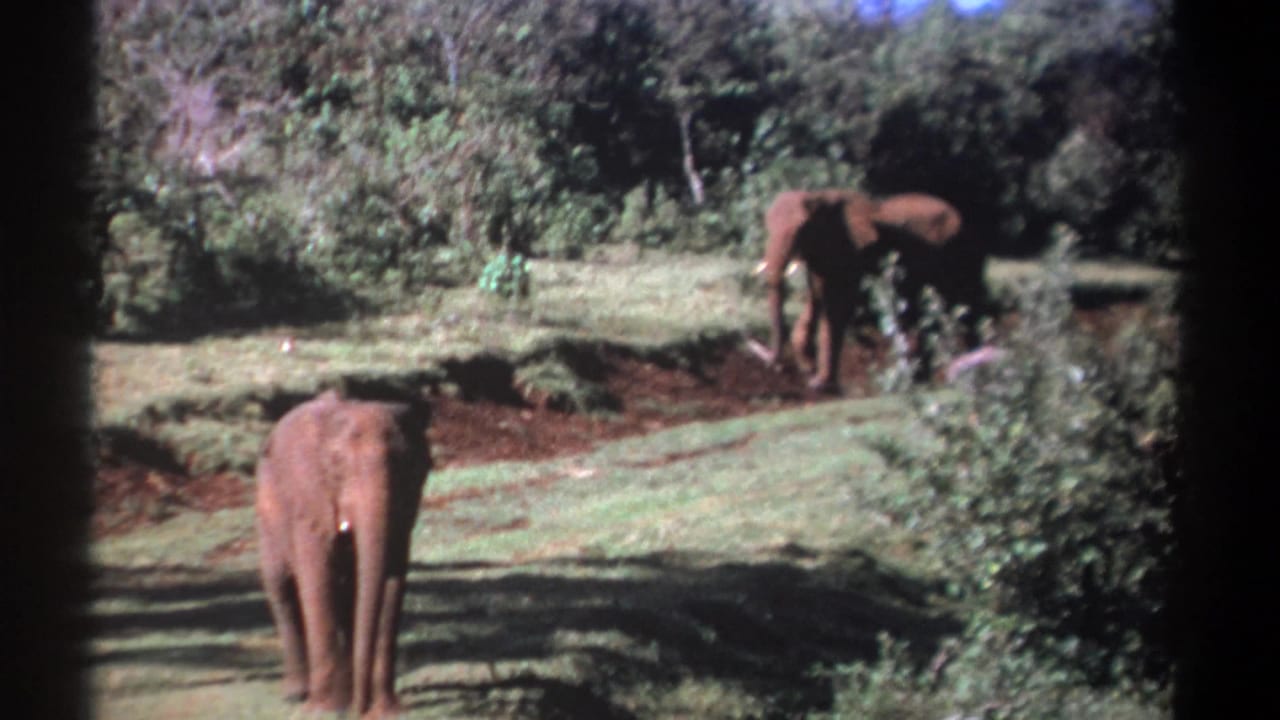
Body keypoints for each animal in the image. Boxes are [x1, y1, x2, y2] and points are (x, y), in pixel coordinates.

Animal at [256, 389, 432, 718]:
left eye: (407, 466)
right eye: (337, 465)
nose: (360, 711)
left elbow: (393, 583)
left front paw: (388, 711)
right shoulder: (310, 499)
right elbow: (317, 579)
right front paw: (324, 710)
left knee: (347, 595)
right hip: (266, 511)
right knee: (281, 586)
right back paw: (297, 694)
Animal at [759, 189, 975, 393]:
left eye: (802, 229)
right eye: (767, 226)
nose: (775, 366)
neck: (818, 198)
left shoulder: (852, 252)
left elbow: (837, 307)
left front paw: (821, 385)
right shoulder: (823, 256)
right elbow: (818, 297)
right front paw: (809, 369)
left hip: (954, 253)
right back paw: (921, 381)